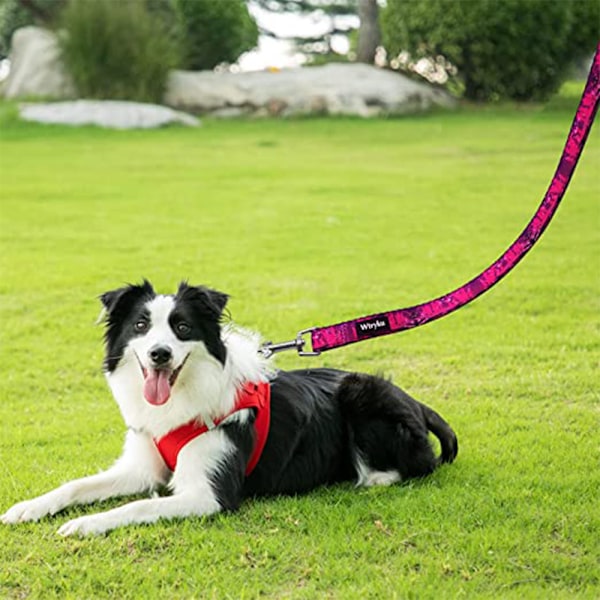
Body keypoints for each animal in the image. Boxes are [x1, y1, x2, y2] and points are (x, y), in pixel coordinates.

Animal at [1, 282, 460, 540]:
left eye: (183, 327)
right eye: (140, 326)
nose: (160, 353)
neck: (183, 396)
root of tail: (416, 402)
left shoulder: (208, 495)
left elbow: (138, 506)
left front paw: (87, 524)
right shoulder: (142, 468)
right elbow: (75, 486)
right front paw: (29, 508)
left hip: (362, 391)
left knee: (416, 465)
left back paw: (366, 478)